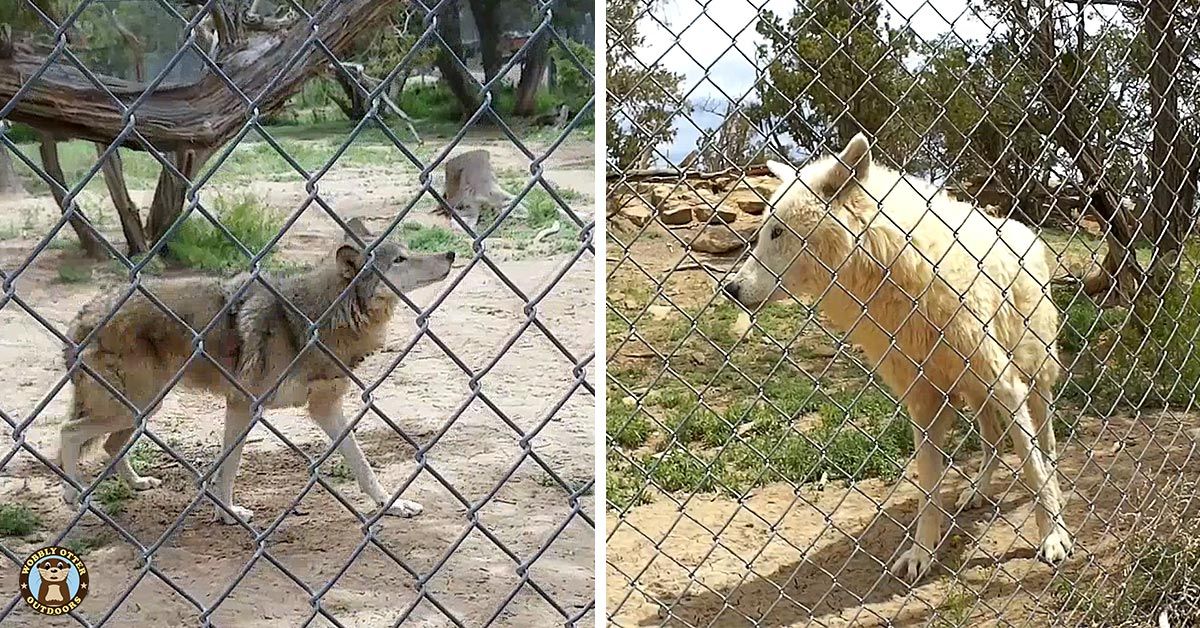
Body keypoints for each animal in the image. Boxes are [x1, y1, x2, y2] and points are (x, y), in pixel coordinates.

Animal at [56, 218, 451, 523]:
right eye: (400, 259)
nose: (450, 254)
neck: (318, 319)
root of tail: (82, 314)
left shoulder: (325, 408)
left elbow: (362, 465)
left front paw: (391, 504)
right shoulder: (244, 405)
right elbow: (230, 465)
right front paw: (228, 513)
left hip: (143, 410)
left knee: (109, 445)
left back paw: (137, 484)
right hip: (133, 407)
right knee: (68, 432)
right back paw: (74, 497)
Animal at [715, 135, 1075, 583]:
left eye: (776, 232)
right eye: (763, 231)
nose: (730, 288)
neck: (894, 272)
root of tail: (1023, 228)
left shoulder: (1003, 385)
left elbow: (1032, 468)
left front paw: (1053, 536)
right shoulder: (923, 401)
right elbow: (927, 490)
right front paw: (922, 554)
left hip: (1032, 380)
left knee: (1046, 447)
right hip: (975, 392)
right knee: (992, 440)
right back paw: (975, 491)